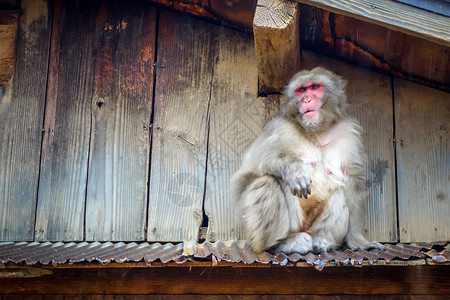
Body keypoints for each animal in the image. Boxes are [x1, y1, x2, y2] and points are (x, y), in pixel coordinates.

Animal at [232, 67, 384, 253]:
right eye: (302, 90)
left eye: (315, 87)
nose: (306, 99)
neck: (317, 132)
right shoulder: (282, 128)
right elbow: (267, 157)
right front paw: (295, 173)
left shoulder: (349, 135)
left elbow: (353, 184)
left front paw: (358, 240)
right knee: (269, 182)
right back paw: (280, 243)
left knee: (339, 190)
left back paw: (321, 239)